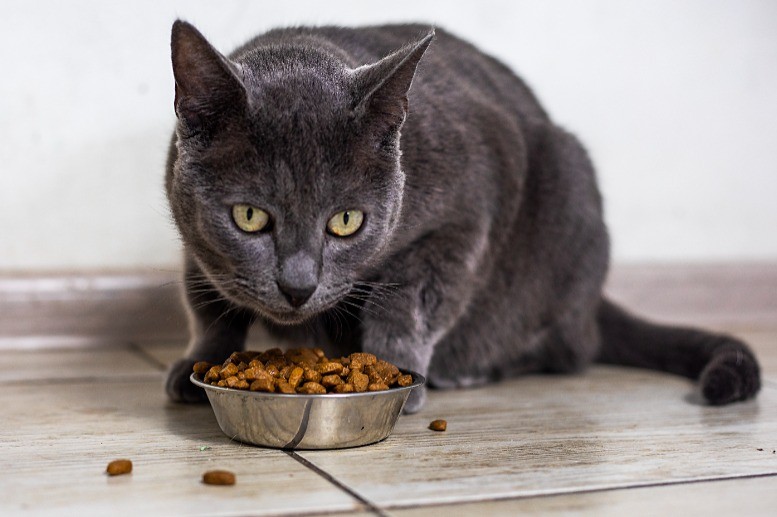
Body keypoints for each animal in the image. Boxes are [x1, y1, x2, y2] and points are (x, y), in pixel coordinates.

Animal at [162, 21, 756, 412]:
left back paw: (472, 369)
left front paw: (395, 378)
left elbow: (408, 302)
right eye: (249, 216)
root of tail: (594, 304)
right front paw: (196, 367)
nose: (298, 286)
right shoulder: (195, 242)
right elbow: (207, 306)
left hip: (567, 193)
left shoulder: (470, 207)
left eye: (347, 221)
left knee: (568, 350)